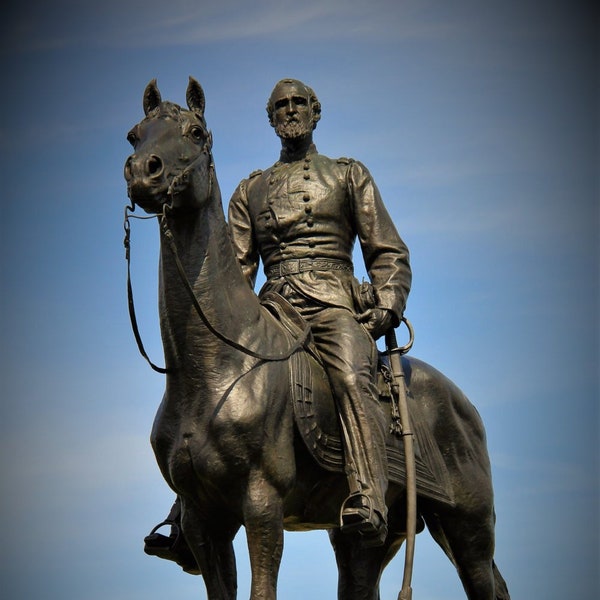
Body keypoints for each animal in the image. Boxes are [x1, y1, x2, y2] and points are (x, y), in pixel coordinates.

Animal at [123, 76, 510, 600]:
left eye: (196, 132)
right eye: (135, 135)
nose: (144, 172)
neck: (216, 369)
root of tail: (462, 403)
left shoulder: (262, 505)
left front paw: (381, 312)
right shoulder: (205, 520)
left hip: (467, 528)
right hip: (365, 539)